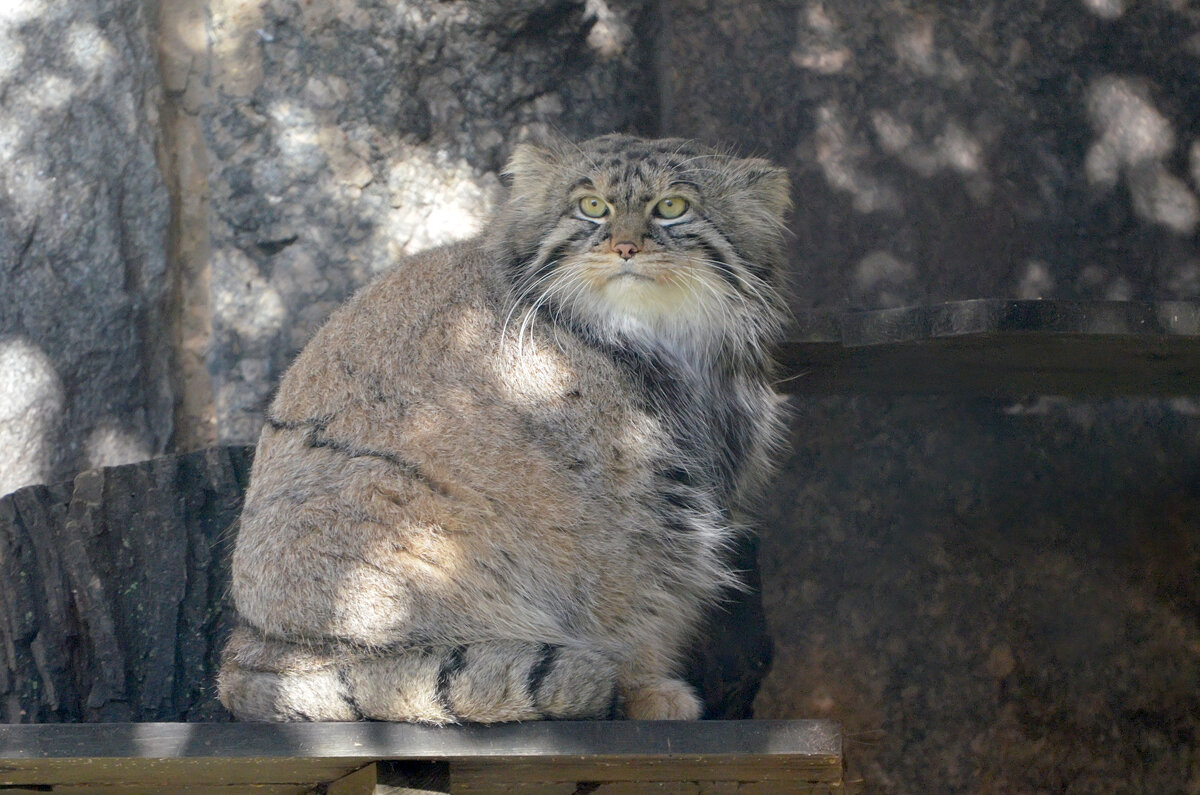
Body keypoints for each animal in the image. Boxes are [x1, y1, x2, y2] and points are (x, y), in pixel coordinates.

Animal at [220, 135, 792, 720]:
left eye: (672, 207)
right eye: (591, 207)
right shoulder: (619, 507)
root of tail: (243, 652)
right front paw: (646, 691)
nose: (625, 248)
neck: (654, 336)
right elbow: (632, 601)